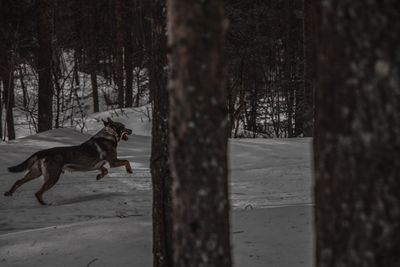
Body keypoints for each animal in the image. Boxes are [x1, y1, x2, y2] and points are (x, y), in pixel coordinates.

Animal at [3, 118, 133, 206]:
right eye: (123, 126)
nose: (131, 130)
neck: (109, 135)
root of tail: (43, 152)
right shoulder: (113, 162)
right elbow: (127, 161)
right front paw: (129, 170)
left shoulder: (99, 165)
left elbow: (105, 171)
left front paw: (99, 177)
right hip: (53, 176)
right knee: (38, 192)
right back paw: (44, 204)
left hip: (35, 172)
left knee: (19, 181)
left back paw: (9, 193)